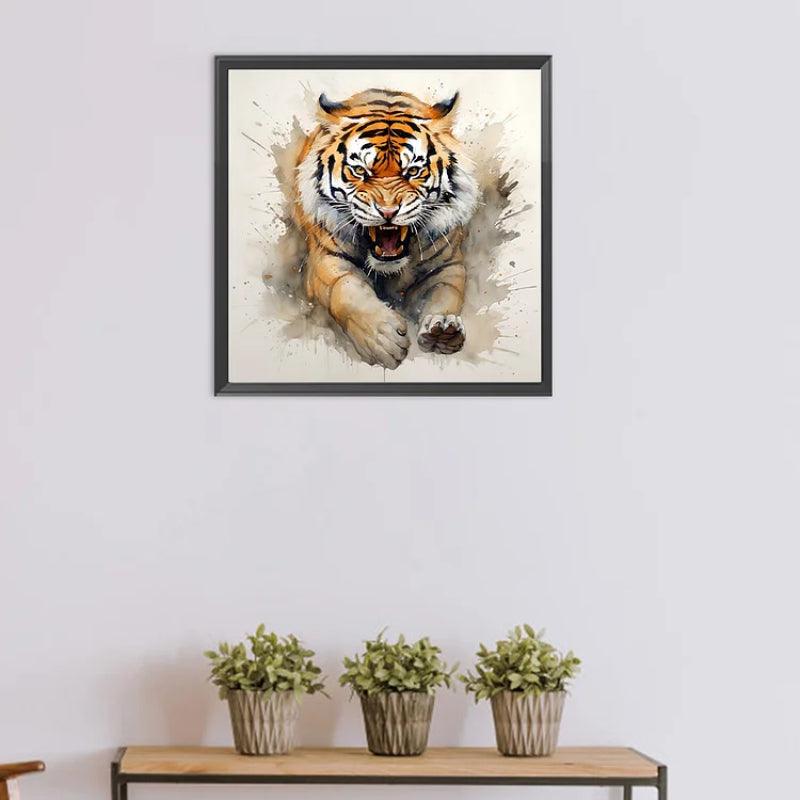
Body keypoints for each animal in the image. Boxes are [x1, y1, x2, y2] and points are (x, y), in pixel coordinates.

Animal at [293, 88, 478, 369]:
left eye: (413, 171)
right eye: (360, 170)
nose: (388, 212)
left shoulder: (448, 264)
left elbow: (445, 294)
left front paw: (443, 330)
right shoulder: (325, 259)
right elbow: (348, 291)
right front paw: (382, 339)